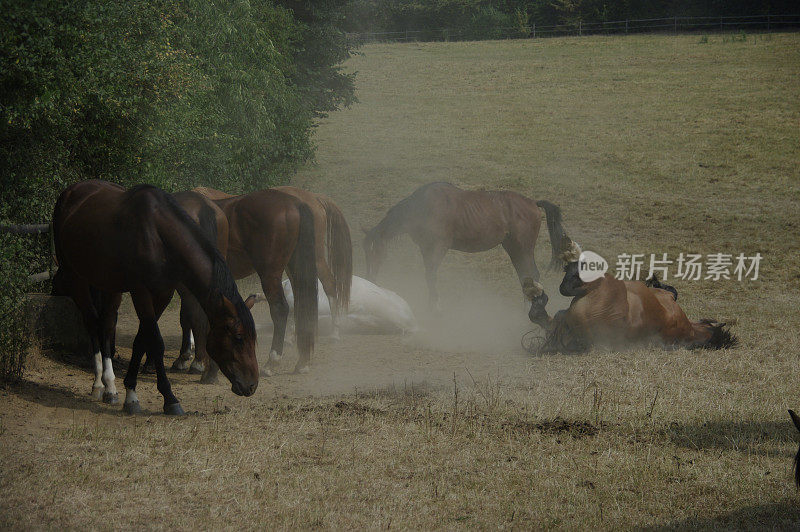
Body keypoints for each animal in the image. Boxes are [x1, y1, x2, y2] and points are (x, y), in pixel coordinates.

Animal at [51, 179, 258, 416]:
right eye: (239, 337)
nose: (251, 385)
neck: (159, 235)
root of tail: (72, 191)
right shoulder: (140, 291)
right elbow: (156, 341)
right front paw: (168, 398)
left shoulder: (163, 292)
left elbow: (142, 339)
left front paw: (130, 392)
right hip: (77, 278)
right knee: (93, 323)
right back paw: (98, 384)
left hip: (109, 283)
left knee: (107, 324)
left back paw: (110, 387)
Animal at [175, 187, 318, 378]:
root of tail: (295, 203)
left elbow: (186, 316)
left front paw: (188, 358)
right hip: (296, 269)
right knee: (303, 308)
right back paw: (303, 361)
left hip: (269, 274)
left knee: (280, 309)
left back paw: (272, 362)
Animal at [362, 182, 568, 310]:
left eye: (375, 252)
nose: (369, 279)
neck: (423, 206)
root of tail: (533, 203)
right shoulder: (426, 248)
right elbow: (429, 276)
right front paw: (431, 305)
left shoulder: (439, 247)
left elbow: (431, 275)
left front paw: (436, 307)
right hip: (513, 249)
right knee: (525, 276)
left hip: (522, 249)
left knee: (531, 274)